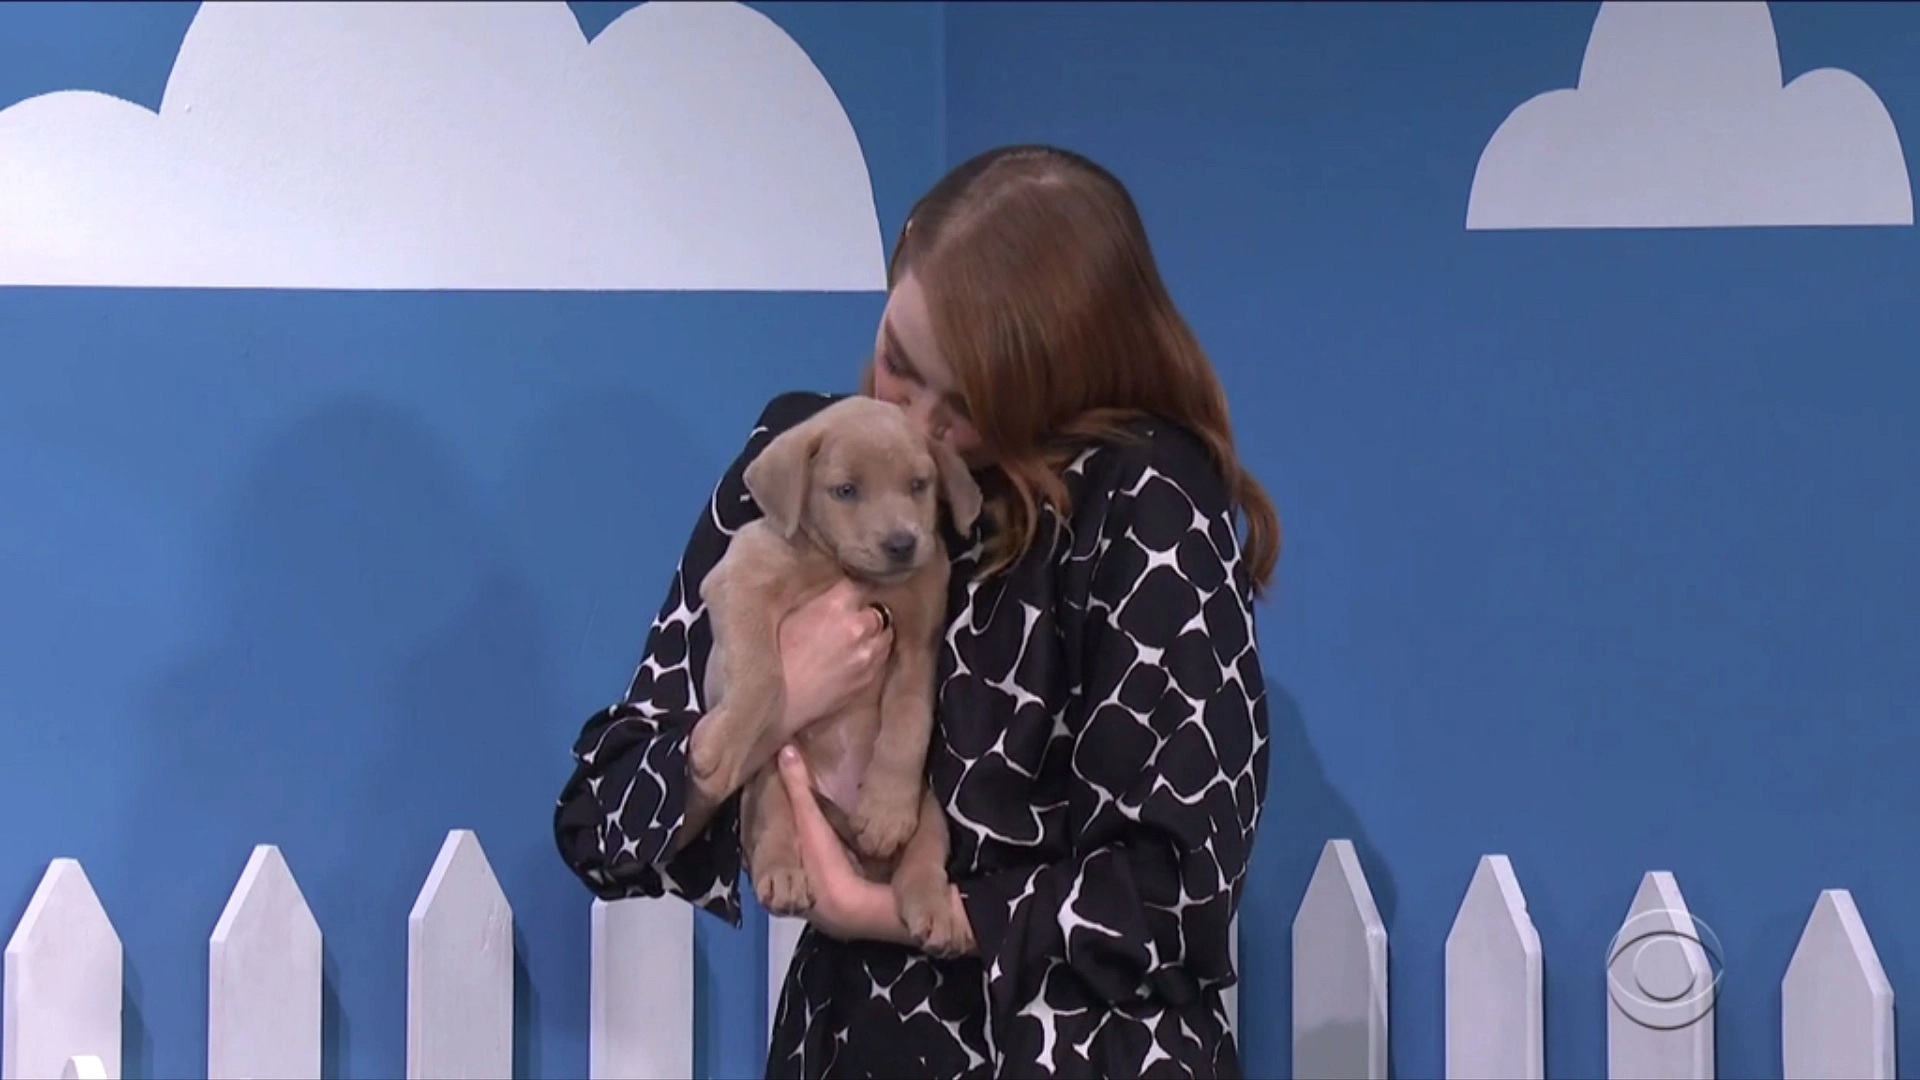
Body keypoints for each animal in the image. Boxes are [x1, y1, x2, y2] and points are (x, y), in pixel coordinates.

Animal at [691, 393, 983, 949]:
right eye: (846, 490)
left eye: (919, 484)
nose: (902, 544)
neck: (840, 569)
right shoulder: (739, 582)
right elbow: (763, 675)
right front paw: (718, 746)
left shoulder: (918, 645)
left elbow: (908, 723)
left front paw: (886, 810)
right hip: (770, 775)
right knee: (774, 826)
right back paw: (784, 875)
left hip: (931, 805)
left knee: (924, 858)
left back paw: (938, 911)